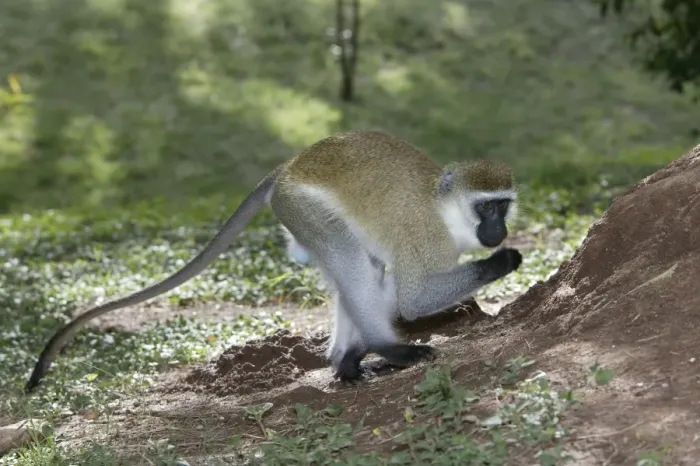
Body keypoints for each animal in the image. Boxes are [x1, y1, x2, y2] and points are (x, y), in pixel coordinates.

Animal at [24, 130, 522, 392]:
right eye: (486, 207)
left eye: (504, 205)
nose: (499, 230)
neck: (446, 210)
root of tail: (287, 168)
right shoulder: (427, 239)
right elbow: (414, 301)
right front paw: (505, 261)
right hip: (302, 208)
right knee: (353, 262)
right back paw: (387, 348)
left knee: (360, 268)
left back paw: (346, 358)